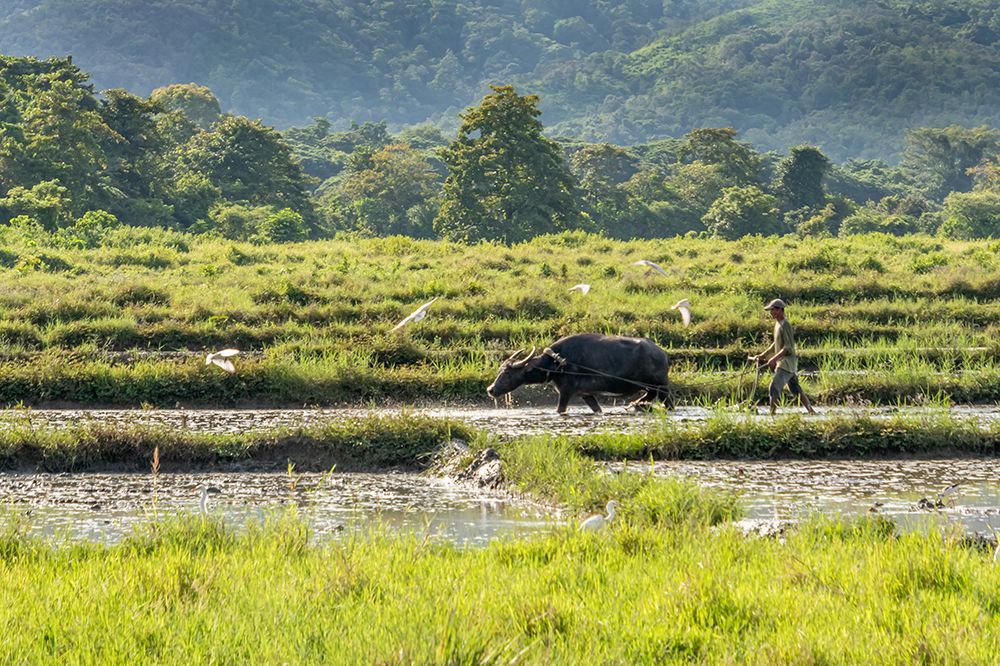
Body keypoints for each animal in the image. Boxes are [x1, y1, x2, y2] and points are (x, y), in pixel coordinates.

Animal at [486, 333, 672, 414]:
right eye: (500, 370)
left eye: (507, 373)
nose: (491, 389)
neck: (557, 363)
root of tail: (662, 354)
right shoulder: (586, 394)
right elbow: (597, 409)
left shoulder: (566, 392)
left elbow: (560, 410)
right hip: (651, 386)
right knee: (649, 395)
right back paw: (636, 404)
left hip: (662, 387)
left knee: (668, 403)